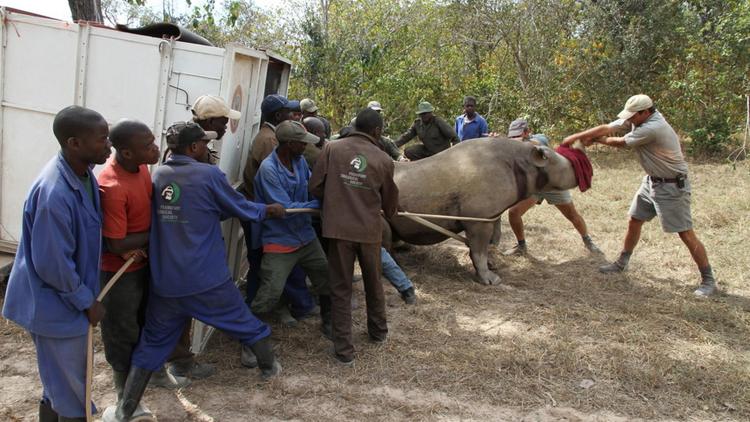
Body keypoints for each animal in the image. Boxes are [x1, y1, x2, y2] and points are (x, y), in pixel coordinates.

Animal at [384, 137, 584, 286]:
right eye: (563, 167)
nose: (580, 175)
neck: (524, 160)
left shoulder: (490, 215)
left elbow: (487, 244)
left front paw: (491, 265)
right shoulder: (478, 219)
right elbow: (479, 249)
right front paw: (490, 280)